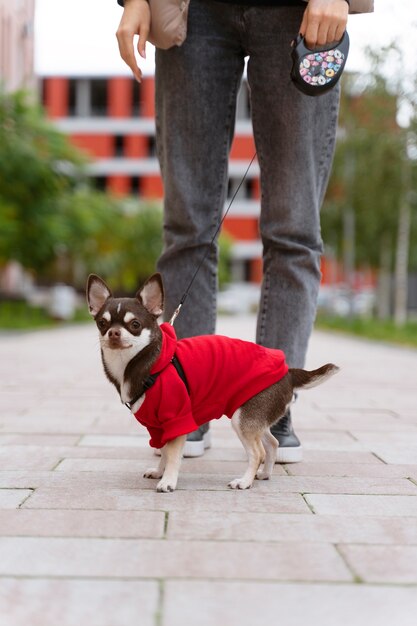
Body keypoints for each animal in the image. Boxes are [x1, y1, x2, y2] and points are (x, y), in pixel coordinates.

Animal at [86, 272, 336, 492]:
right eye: (102, 323)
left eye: (135, 325)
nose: (113, 333)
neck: (146, 363)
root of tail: (287, 372)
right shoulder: (157, 427)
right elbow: (164, 452)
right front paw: (159, 472)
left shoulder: (177, 420)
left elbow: (173, 455)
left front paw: (168, 482)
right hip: (254, 418)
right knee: (272, 443)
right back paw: (264, 474)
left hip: (243, 419)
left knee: (258, 452)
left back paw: (245, 481)